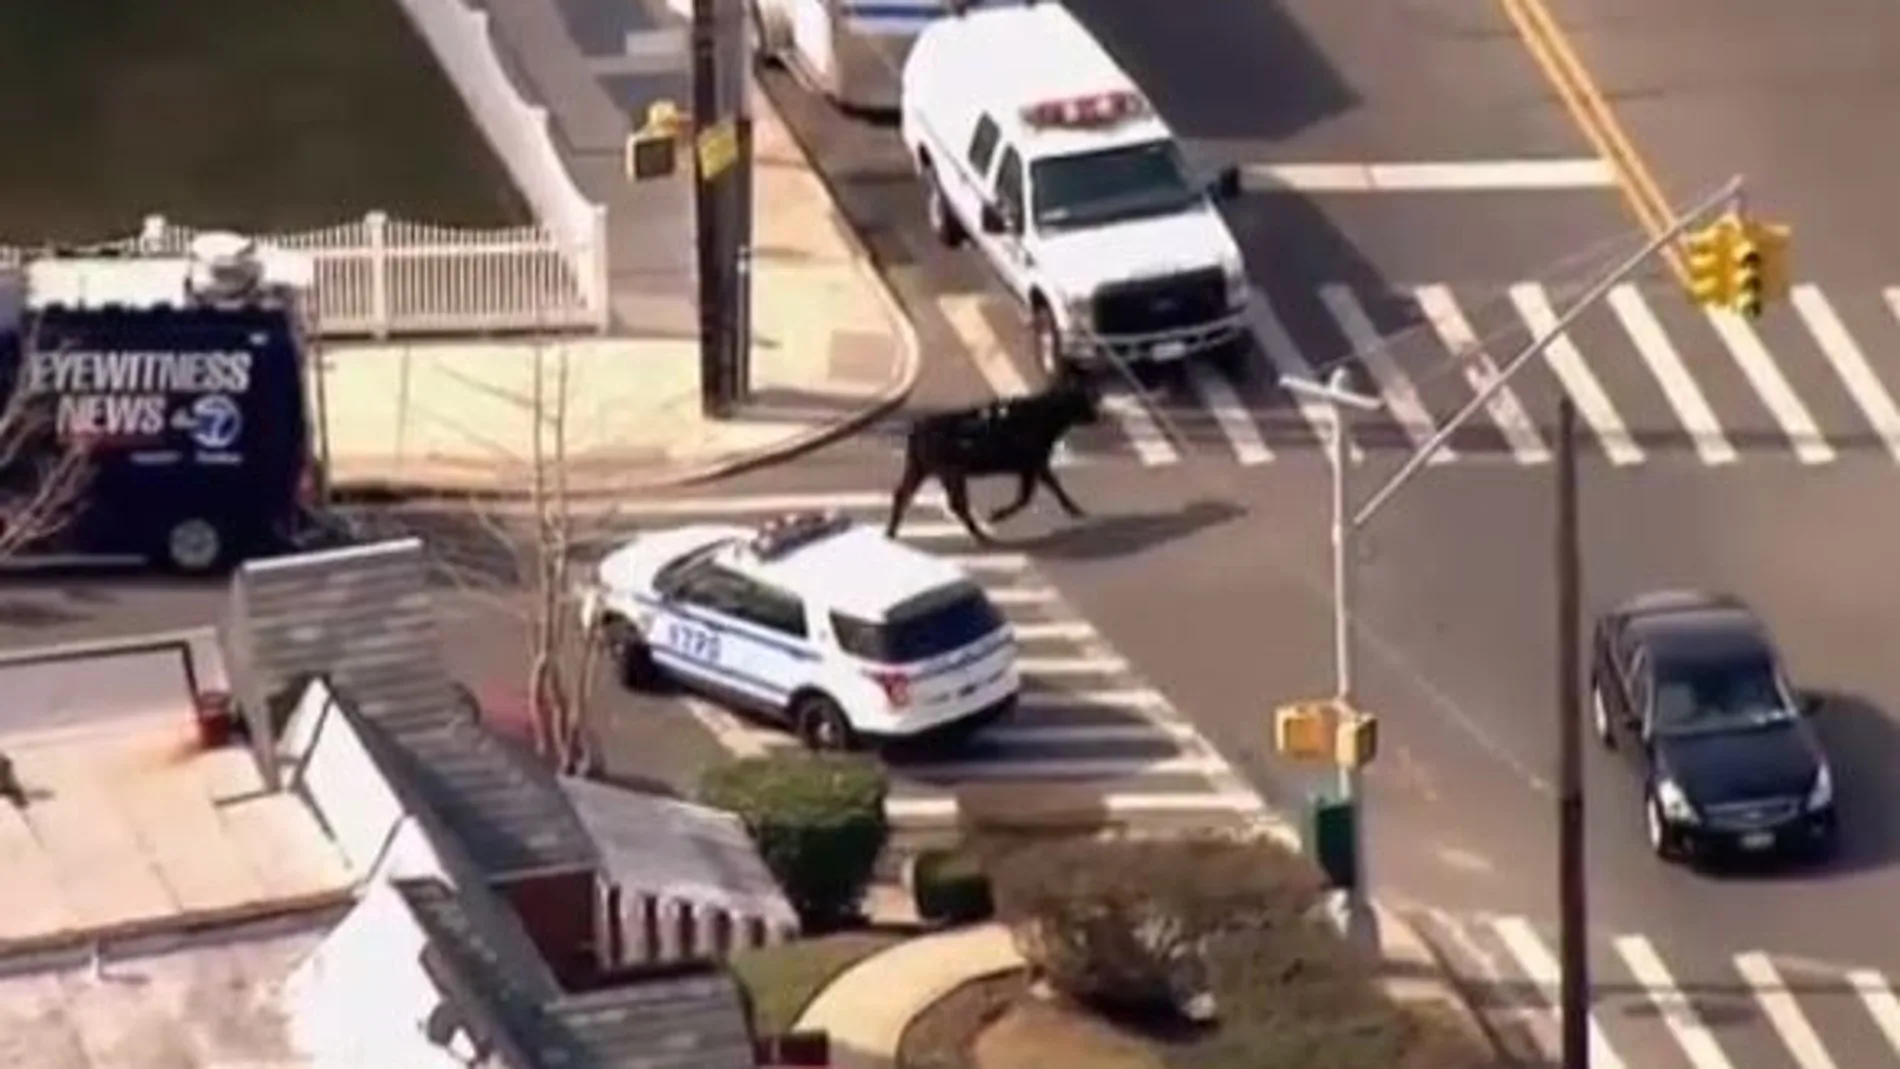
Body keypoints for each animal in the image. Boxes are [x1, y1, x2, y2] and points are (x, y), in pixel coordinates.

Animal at [885, 375, 1102, 543]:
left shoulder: (1034, 466)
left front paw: (1076, 510)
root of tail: (916, 428)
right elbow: (1027, 497)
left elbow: (1049, 489)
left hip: (921, 468)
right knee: (957, 504)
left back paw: (891, 532)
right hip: (950, 473)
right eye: (1084, 399)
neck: (1044, 415)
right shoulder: (1033, 465)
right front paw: (996, 515)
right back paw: (982, 536)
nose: (1096, 416)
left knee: (903, 495)